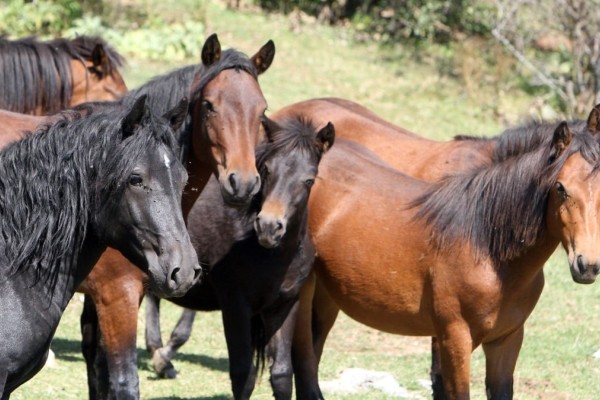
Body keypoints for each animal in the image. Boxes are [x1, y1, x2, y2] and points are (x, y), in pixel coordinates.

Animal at [76, 35, 278, 400]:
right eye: (210, 105)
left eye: (262, 110)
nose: (242, 183)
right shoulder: (116, 297)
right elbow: (122, 381)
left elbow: (97, 369)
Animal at [144, 117, 336, 400]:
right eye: (267, 170)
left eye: (309, 180)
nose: (268, 226)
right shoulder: (235, 305)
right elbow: (243, 376)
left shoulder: (285, 304)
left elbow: (281, 374)